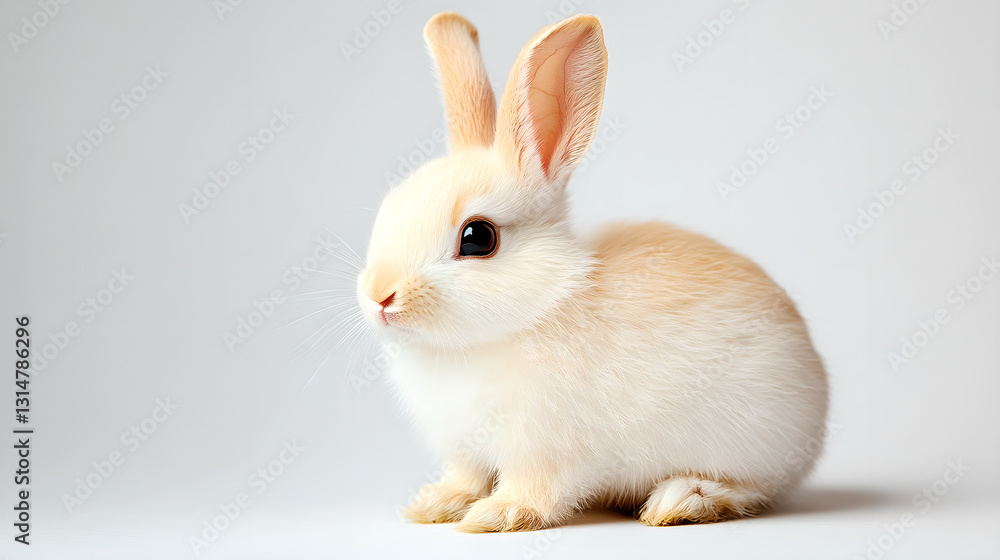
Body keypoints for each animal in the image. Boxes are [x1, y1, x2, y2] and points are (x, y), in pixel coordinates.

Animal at [355, 12, 828, 532]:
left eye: (478, 238)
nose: (380, 295)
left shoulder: (542, 449)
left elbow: (534, 487)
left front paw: (498, 515)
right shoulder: (466, 451)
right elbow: (467, 478)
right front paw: (435, 505)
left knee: (753, 490)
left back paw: (684, 500)